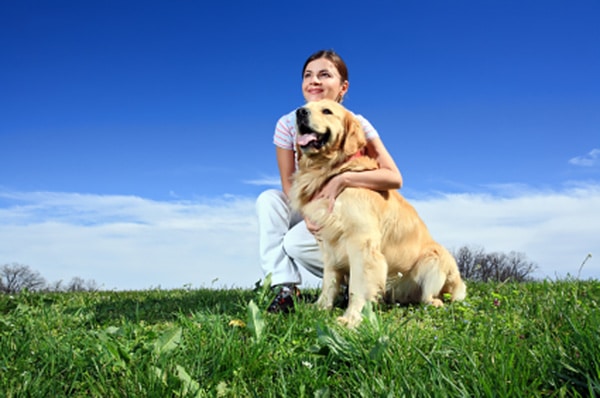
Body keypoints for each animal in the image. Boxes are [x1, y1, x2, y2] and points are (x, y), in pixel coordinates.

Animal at [288, 98, 466, 326]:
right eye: (306, 106)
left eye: (326, 110)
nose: (300, 112)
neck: (330, 169)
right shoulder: (328, 243)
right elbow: (329, 281)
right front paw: (320, 308)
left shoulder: (361, 242)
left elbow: (358, 286)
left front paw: (352, 319)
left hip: (435, 258)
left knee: (431, 296)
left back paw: (434, 302)